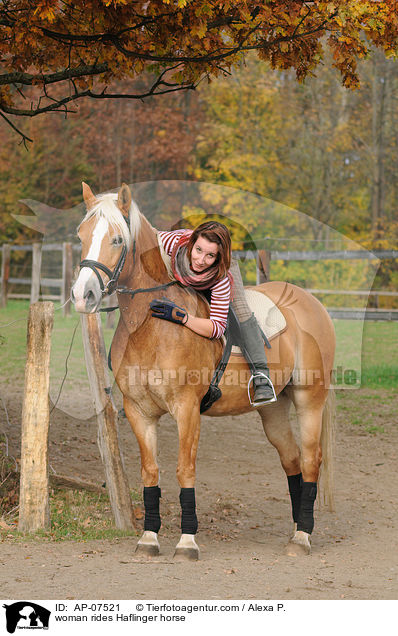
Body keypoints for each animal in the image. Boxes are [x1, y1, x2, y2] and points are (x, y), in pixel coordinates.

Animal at [70, 181, 336, 560]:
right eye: (81, 235)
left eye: (118, 239)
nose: (83, 295)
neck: (151, 326)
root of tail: (312, 303)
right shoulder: (139, 411)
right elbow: (150, 472)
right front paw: (149, 538)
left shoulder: (186, 409)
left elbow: (185, 469)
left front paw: (186, 541)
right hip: (273, 409)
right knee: (292, 461)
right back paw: (298, 526)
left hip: (309, 399)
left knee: (312, 460)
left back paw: (302, 537)